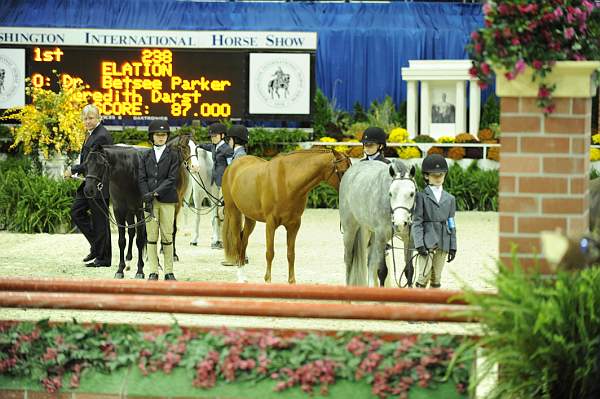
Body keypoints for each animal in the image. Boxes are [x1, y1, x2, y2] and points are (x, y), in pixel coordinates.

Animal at [220, 149, 352, 284]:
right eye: (342, 171)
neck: (287, 182)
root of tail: (232, 166)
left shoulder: (294, 225)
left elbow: (291, 254)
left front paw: (292, 281)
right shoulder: (270, 223)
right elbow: (270, 253)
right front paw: (267, 280)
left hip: (250, 218)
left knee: (244, 241)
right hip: (234, 213)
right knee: (237, 242)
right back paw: (241, 277)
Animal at [338, 159, 418, 288]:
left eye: (412, 193)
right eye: (390, 193)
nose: (400, 223)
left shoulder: (409, 239)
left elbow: (409, 270)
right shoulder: (381, 237)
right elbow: (382, 271)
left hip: (372, 234)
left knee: (370, 263)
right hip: (350, 231)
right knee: (348, 260)